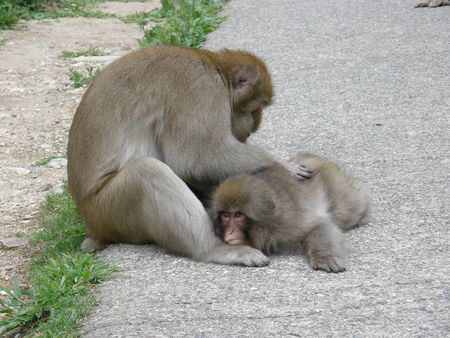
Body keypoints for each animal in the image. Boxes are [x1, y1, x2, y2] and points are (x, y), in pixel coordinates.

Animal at [67, 45, 302, 266]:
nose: (253, 127)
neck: (214, 66)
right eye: (256, 107)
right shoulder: (200, 88)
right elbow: (197, 161)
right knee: (147, 172)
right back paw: (214, 249)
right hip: (108, 211)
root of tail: (91, 225)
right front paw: (284, 165)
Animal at [209, 153, 370, 272]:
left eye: (238, 215)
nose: (229, 231)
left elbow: (319, 225)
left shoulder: (290, 223)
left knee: (350, 209)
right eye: (225, 215)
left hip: (334, 183)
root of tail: (311, 158)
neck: (268, 225)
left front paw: (324, 257)